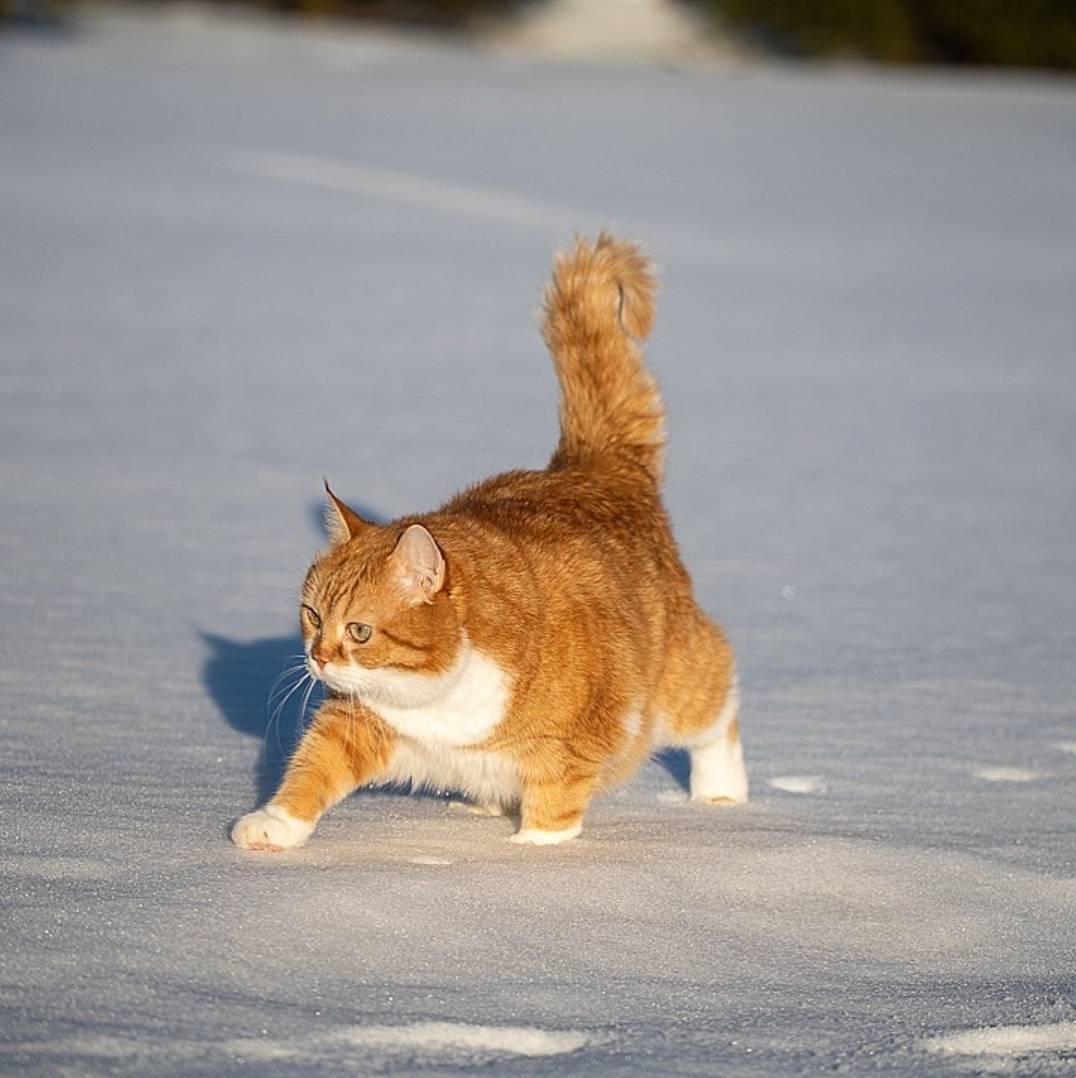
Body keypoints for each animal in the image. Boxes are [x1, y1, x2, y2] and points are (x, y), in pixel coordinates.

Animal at [231, 236, 746, 849]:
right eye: (311, 615)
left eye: (358, 631)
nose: (317, 657)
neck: (441, 696)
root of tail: (593, 467)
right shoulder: (358, 724)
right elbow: (313, 767)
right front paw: (274, 826)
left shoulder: (568, 750)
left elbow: (553, 812)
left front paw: (528, 856)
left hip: (683, 683)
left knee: (719, 704)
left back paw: (722, 796)